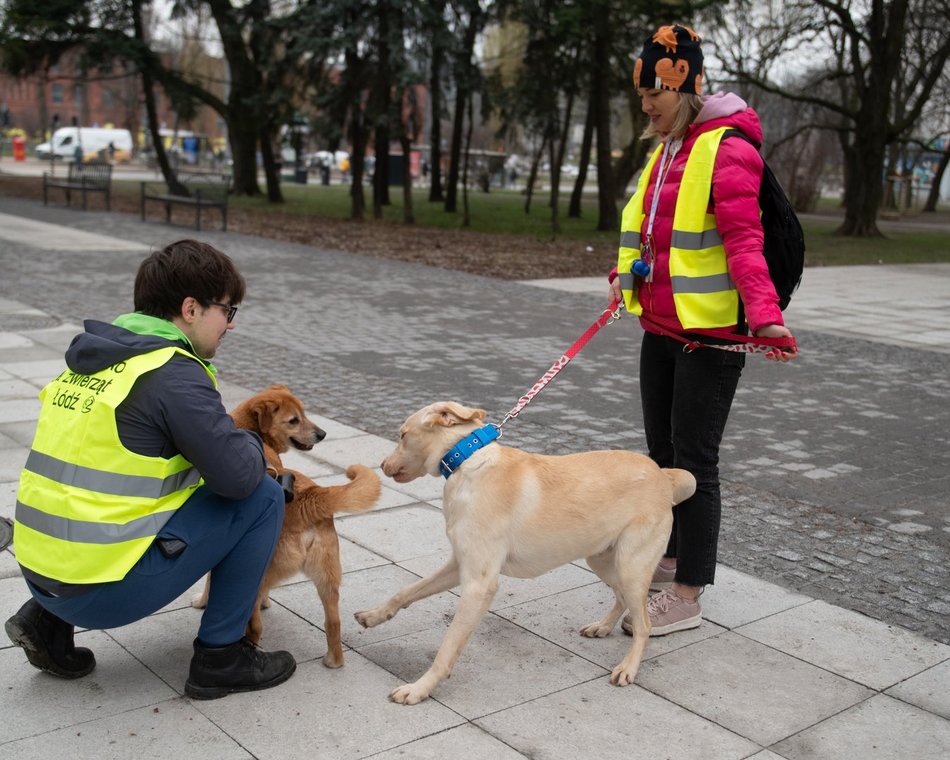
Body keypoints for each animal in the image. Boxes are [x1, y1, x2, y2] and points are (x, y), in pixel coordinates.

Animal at [192, 386, 382, 664]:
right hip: (327, 579)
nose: (322, 434)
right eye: (294, 420)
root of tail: (309, 498)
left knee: (256, 625)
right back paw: (332, 661)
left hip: (261, 571)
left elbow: (209, 581)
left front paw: (202, 601)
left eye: (303, 415)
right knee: (333, 624)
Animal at [354, 400, 696, 704]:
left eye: (402, 435)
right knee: (622, 599)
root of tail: (663, 473)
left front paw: (420, 688)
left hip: (631, 565)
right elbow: (406, 591)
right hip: (602, 558)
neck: (468, 462)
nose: (381, 466)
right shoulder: (459, 564)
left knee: (643, 625)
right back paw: (602, 627)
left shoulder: (479, 584)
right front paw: (374, 616)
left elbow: (447, 647)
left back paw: (628, 667)